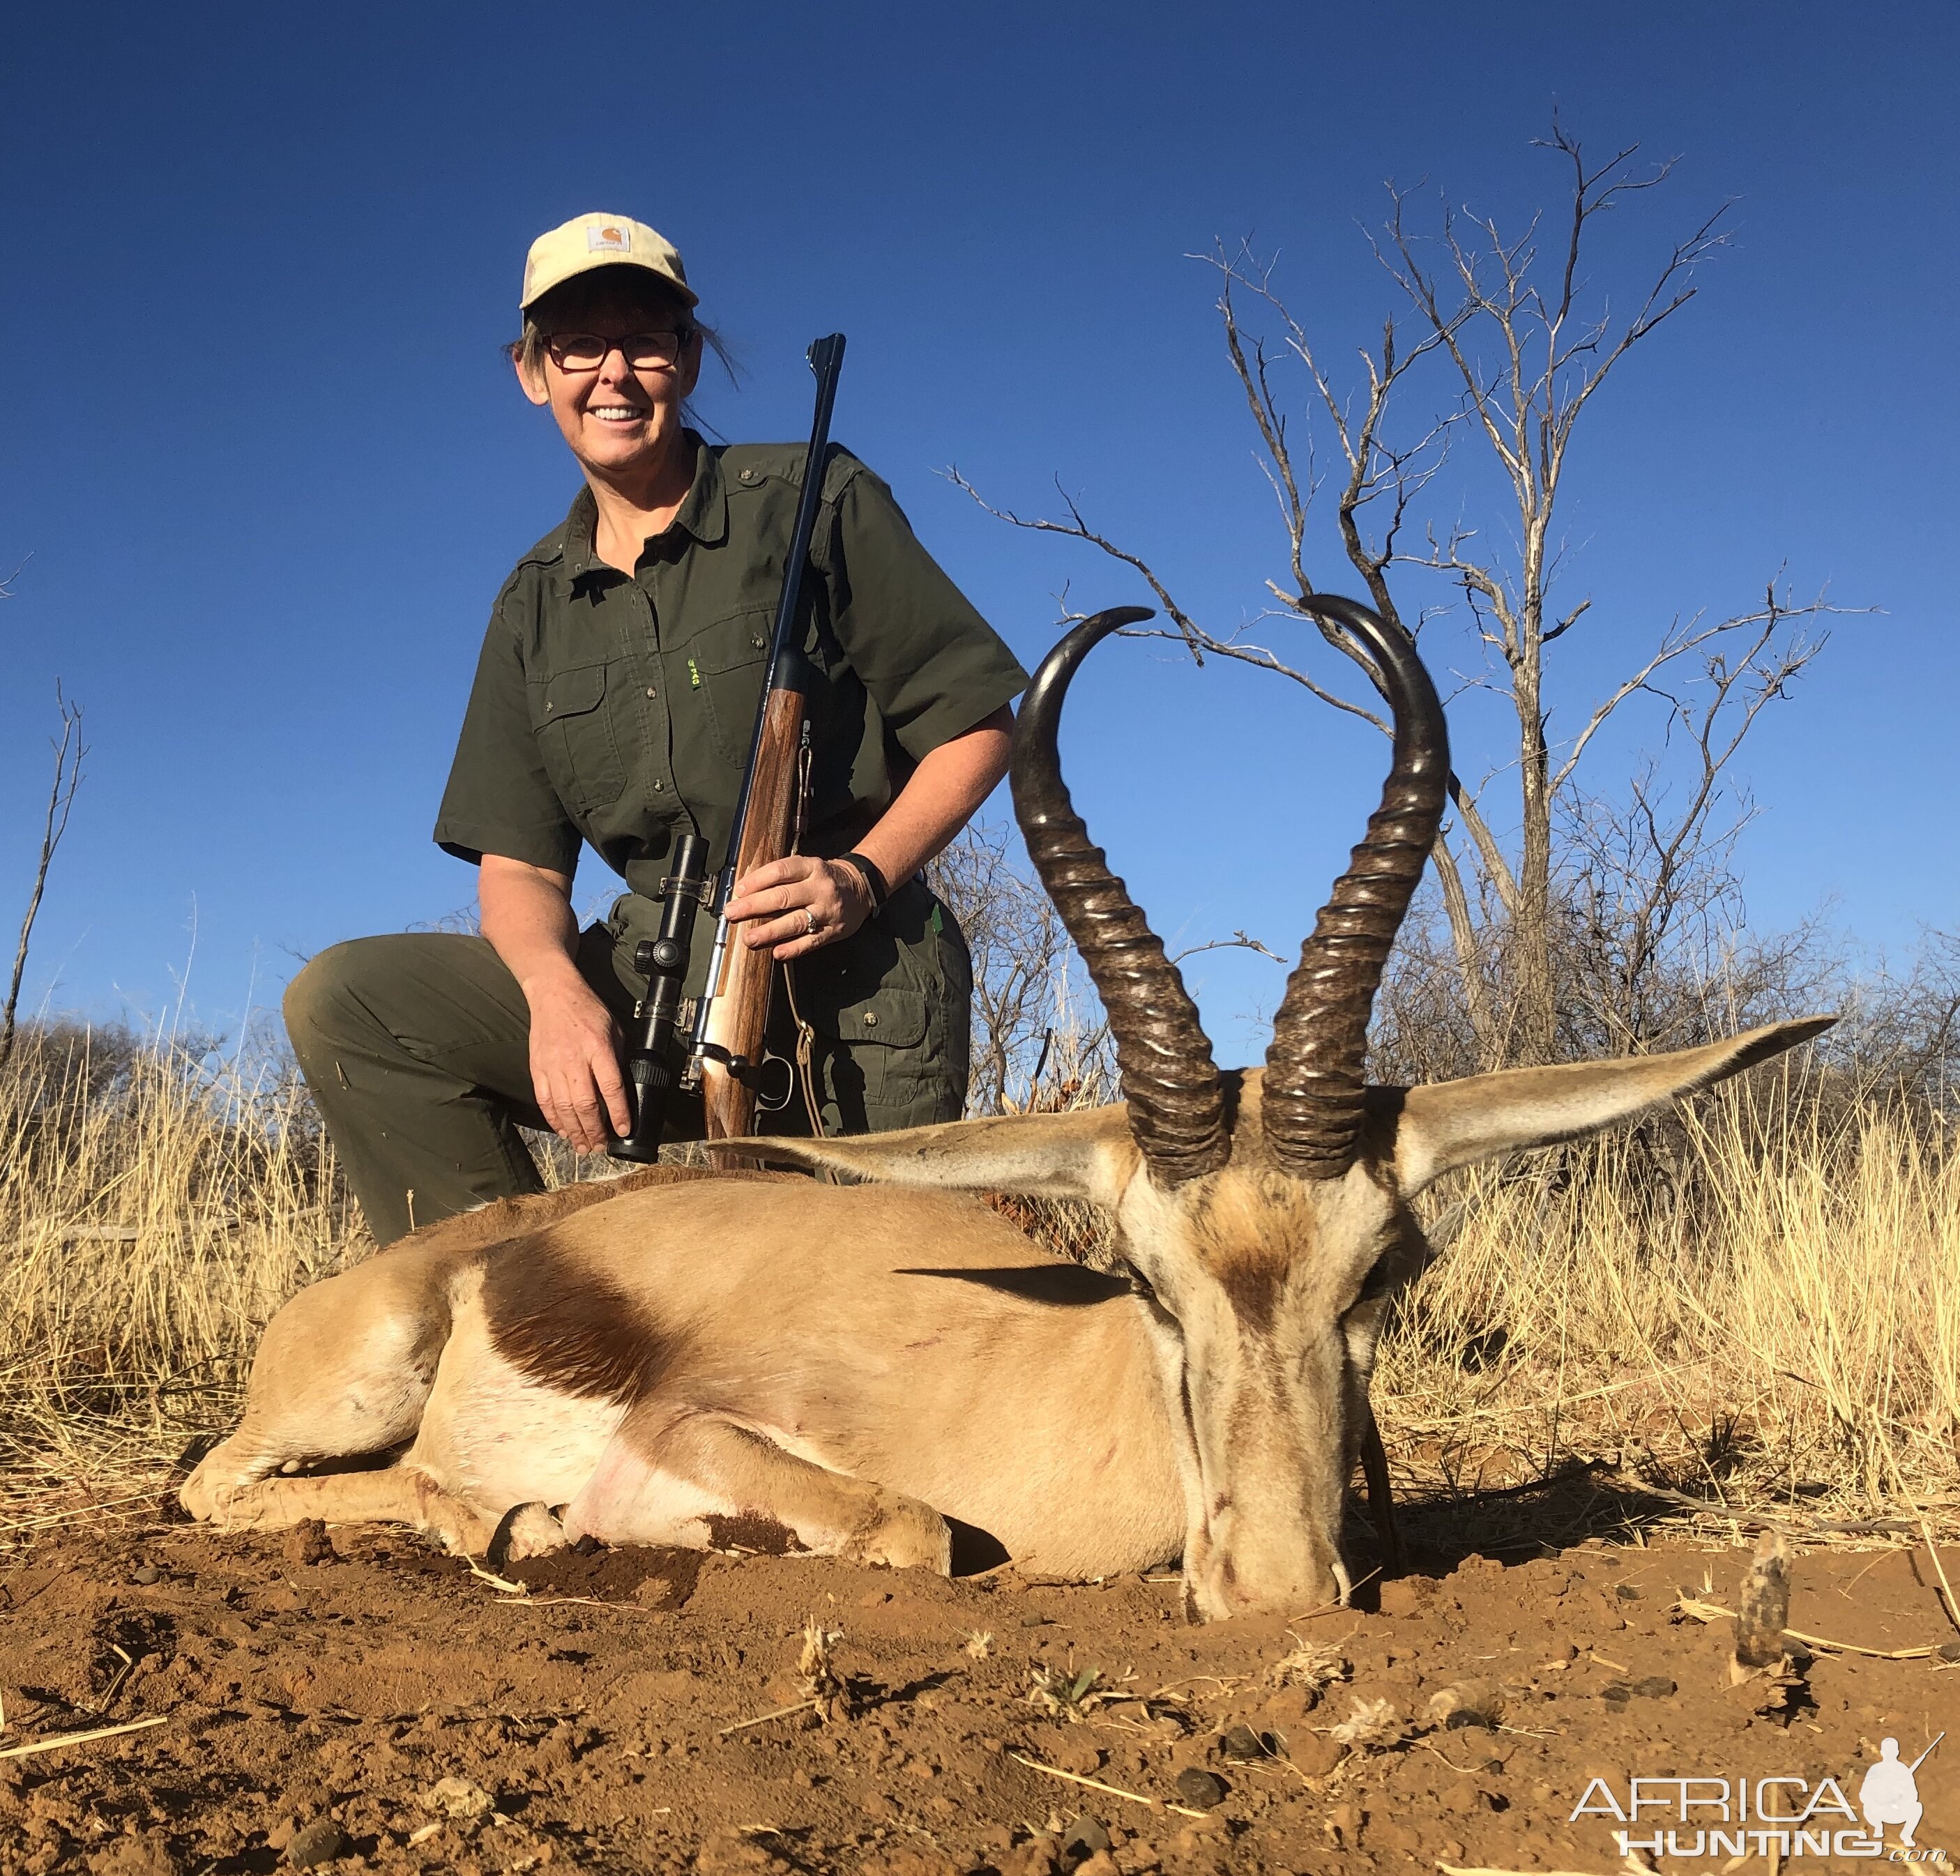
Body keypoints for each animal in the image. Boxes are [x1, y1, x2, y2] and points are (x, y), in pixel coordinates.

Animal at [176, 595, 1826, 1607]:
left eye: (1380, 1273)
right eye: (1143, 1280)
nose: (1274, 1593)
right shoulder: (704, 1435)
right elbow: (915, 1529)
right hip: (362, 1380)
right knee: (243, 1481)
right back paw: (507, 1519)